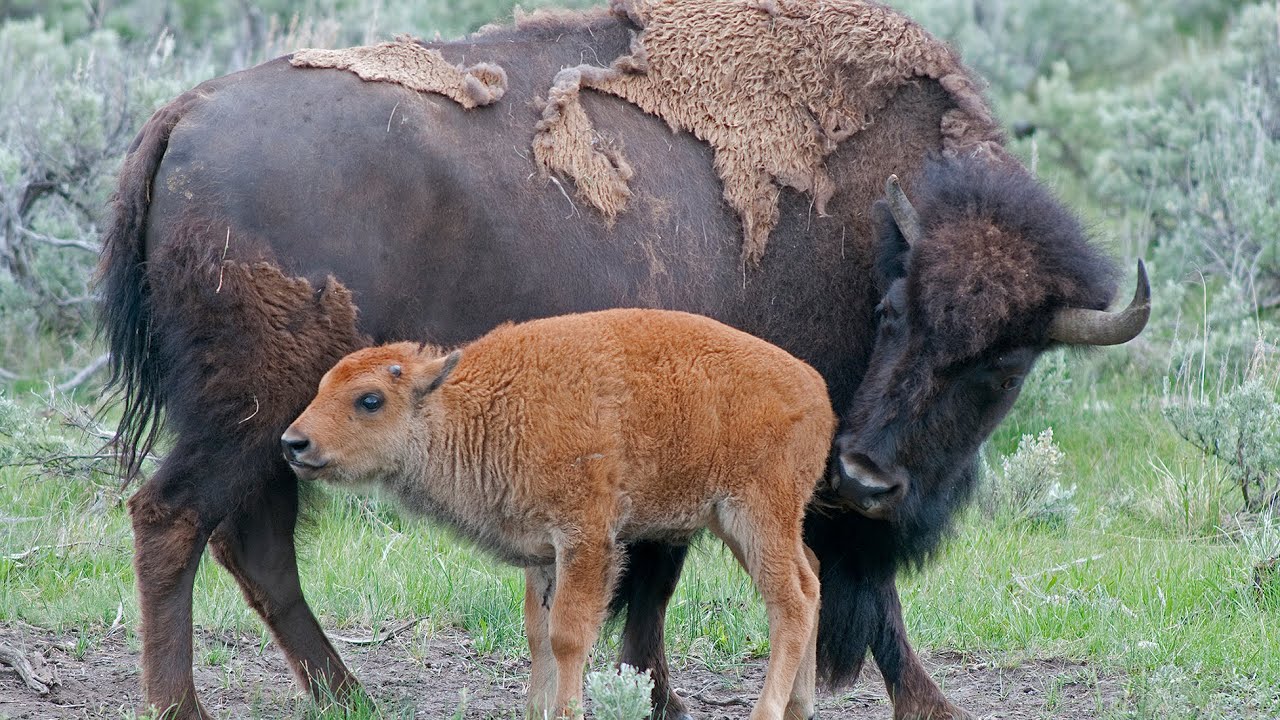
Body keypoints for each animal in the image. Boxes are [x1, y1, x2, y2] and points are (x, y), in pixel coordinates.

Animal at [98, 2, 1148, 719]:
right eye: (892, 313)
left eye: (1005, 367)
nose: (870, 473)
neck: (871, 230)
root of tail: (182, 117)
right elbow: (711, 579)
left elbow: (662, 572)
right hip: (253, 410)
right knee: (174, 518)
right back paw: (184, 704)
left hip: (283, 426)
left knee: (252, 543)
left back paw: (345, 693)